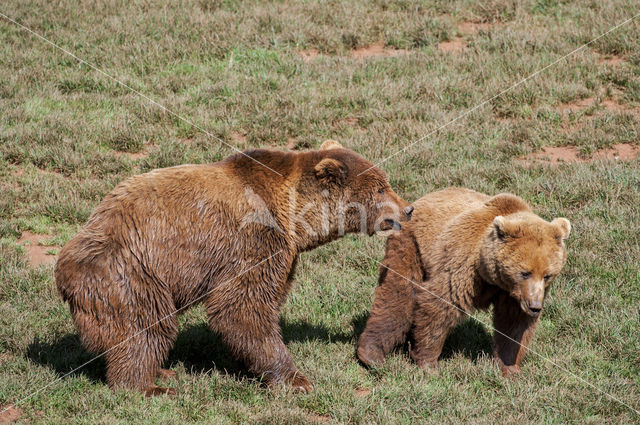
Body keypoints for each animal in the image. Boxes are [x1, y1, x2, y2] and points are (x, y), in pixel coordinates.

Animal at [57, 141, 412, 396]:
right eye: (381, 187)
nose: (407, 209)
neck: (294, 219)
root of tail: (64, 273)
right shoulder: (253, 241)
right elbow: (243, 307)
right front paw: (296, 380)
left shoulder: (282, 256)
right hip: (132, 272)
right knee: (146, 327)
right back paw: (148, 385)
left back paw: (162, 371)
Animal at [358, 187, 572, 376]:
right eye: (525, 273)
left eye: (547, 275)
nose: (535, 306)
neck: (492, 276)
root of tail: (420, 200)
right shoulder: (464, 264)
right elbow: (441, 305)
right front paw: (428, 361)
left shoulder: (512, 294)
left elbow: (513, 324)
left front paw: (510, 367)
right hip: (412, 247)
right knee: (398, 295)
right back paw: (371, 353)